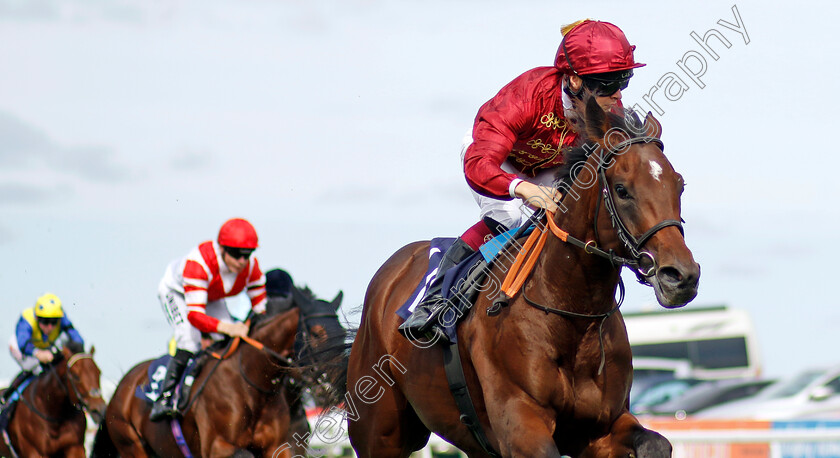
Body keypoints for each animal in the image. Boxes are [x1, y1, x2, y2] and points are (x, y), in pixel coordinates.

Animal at [95, 286, 348, 458]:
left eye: (345, 334)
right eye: (316, 333)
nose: (336, 384)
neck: (251, 385)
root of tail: (122, 387)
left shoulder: (279, 446)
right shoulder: (218, 446)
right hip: (131, 444)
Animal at [338, 97, 700, 458]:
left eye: (679, 185)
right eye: (622, 190)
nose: (681, 276)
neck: (571, 314)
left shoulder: (601, 426)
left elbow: (655, 443)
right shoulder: (520, 424)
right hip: (380, 433)